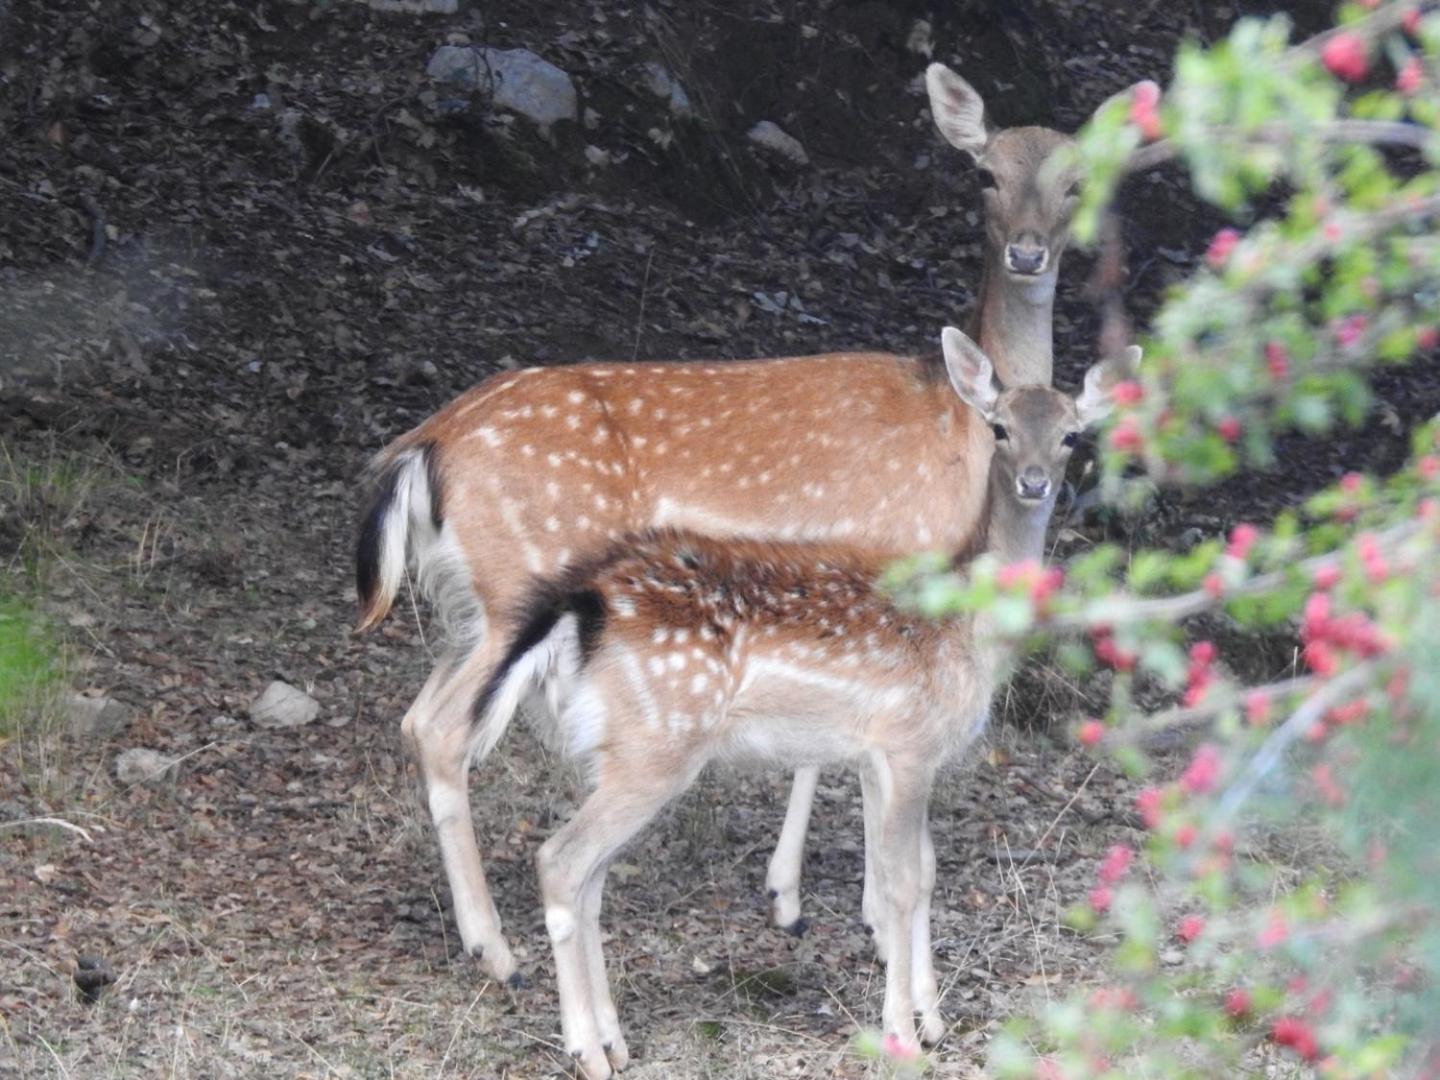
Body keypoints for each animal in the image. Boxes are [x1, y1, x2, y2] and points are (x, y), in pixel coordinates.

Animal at [354, 64, 1150, 984]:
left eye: (1077, 182)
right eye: (984, 173)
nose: (1028, 252)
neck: (956, 429)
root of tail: (423, 447)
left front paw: (795, 896)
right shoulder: (893, 558)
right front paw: (843, 910)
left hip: (473, 605)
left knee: (419, 718)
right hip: (521, 576)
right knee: (448, 732)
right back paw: (495, 947)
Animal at [465, 327, 1133, 1078]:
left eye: (1073, 434)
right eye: (1000, 428)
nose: (1034, 481)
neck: (973, 632)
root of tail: (582, 611)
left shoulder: (894, 754)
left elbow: (923, 877)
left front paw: (932, 1019)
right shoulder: (907, 742)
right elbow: (900, 886)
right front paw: (903, 1035)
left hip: (608, 749)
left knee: (591, 879)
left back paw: (612, 1037)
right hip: (657, 744)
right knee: (561, 861)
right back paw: (585, 1047)